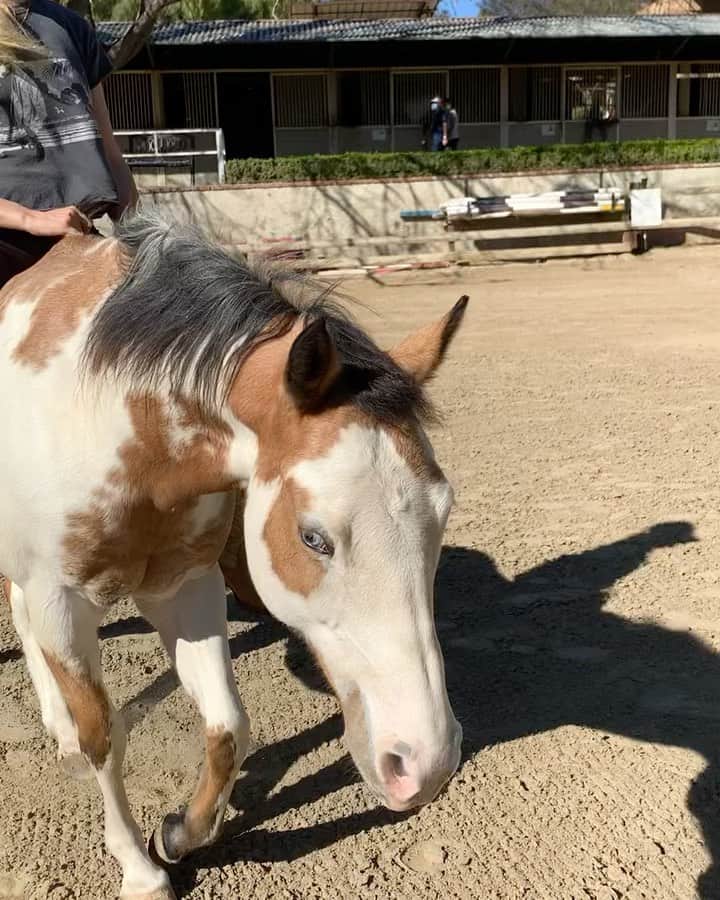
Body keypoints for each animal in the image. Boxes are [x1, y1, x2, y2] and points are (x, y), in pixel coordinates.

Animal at [0, 212, 467, 900]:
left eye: (444, 512)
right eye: (313, 537)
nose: (426, 764)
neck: (118, 424)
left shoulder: (185, 587)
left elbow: (228, 727)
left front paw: (179, 834)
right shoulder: (61, 599)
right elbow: (102, 737)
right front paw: (139, 869)